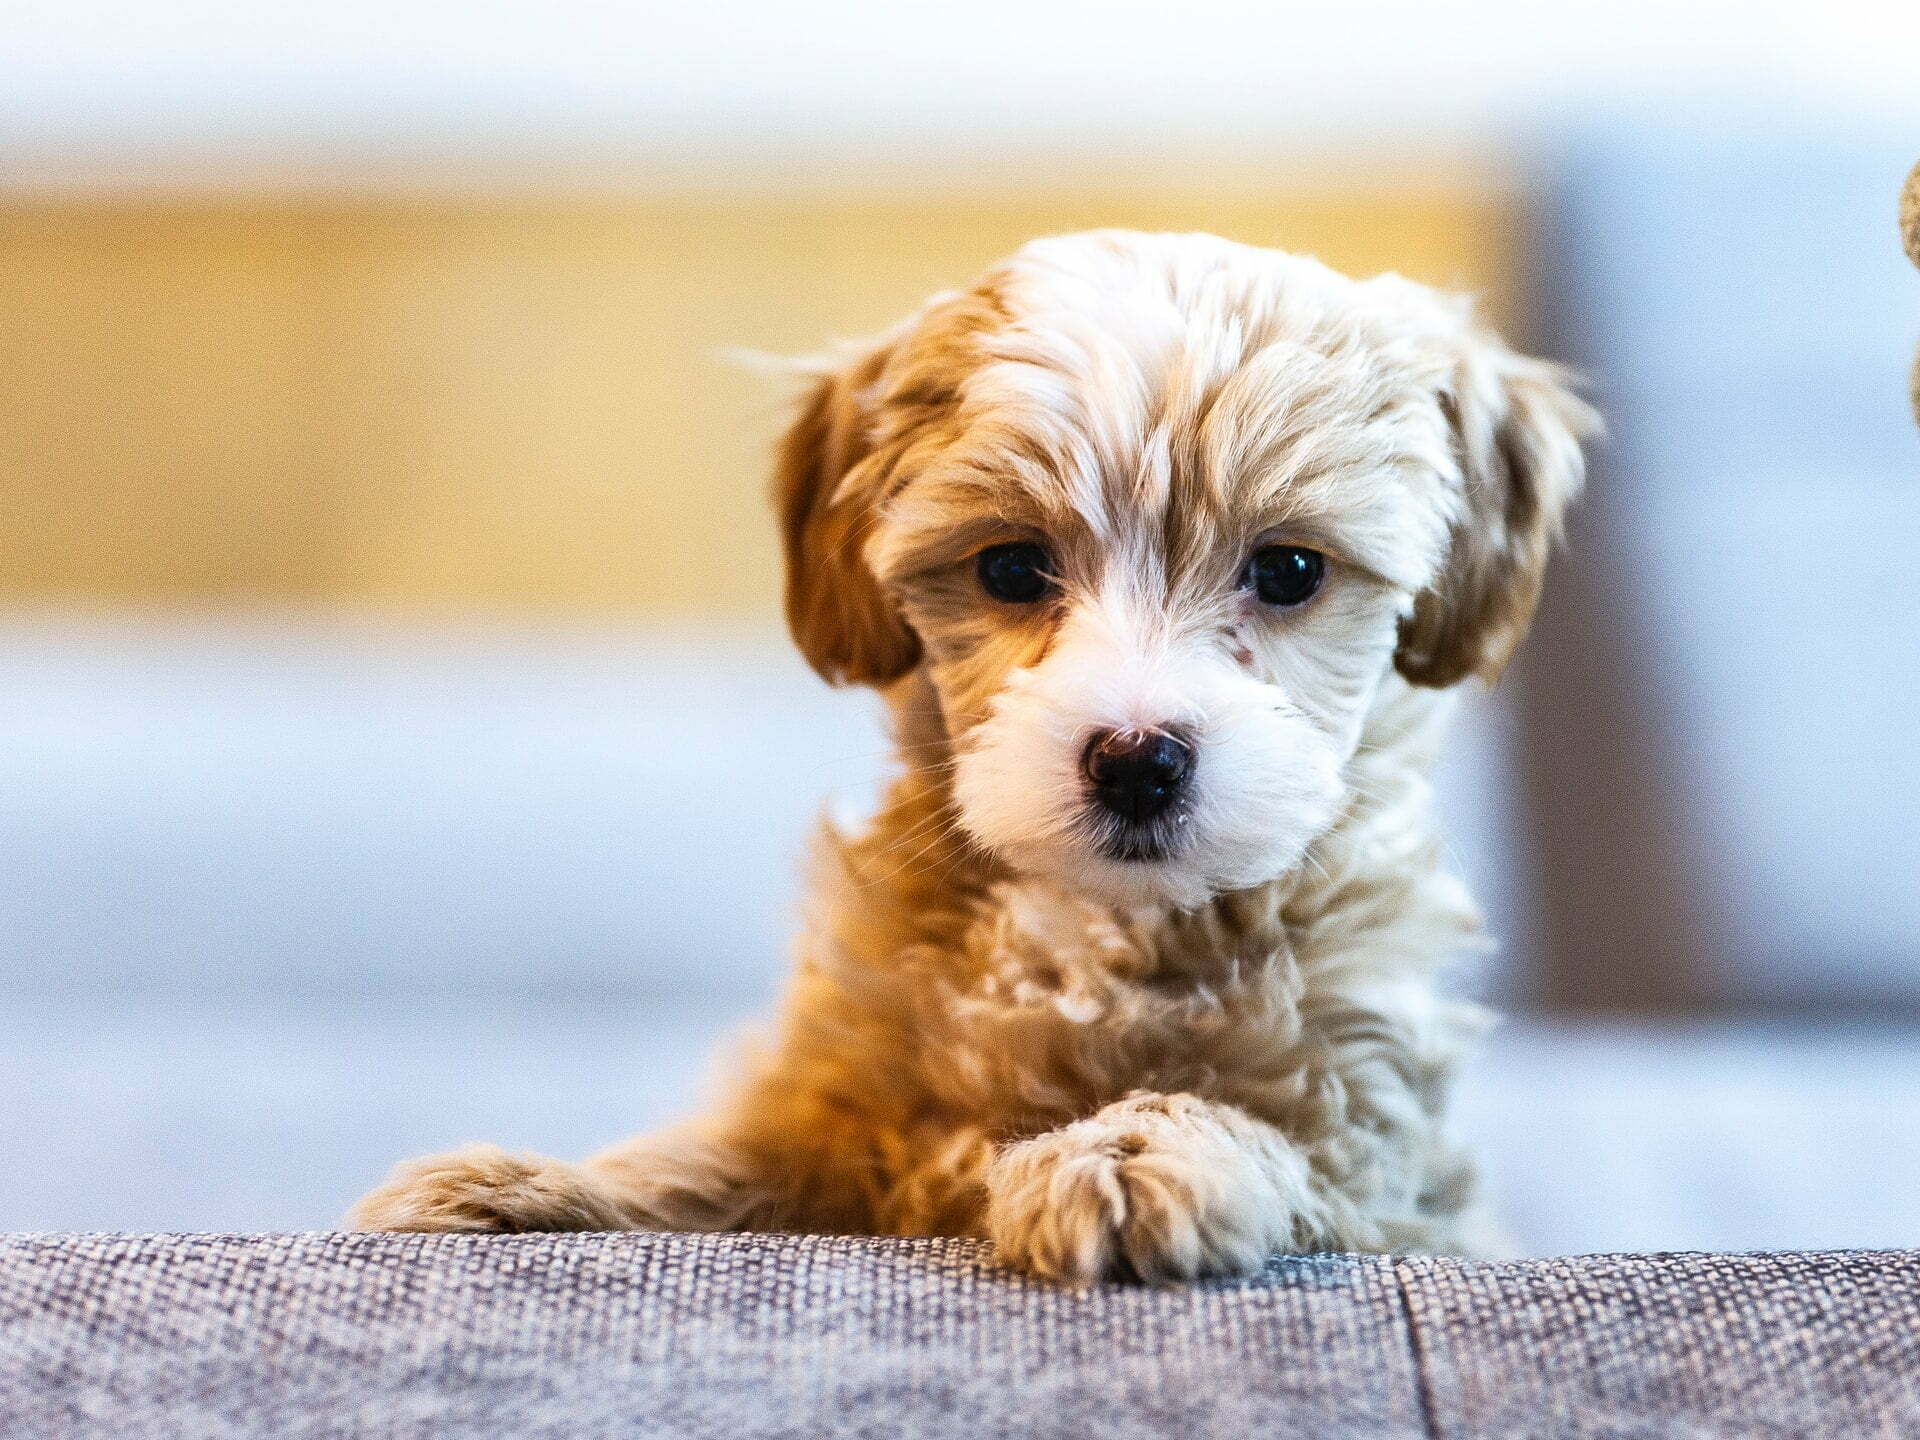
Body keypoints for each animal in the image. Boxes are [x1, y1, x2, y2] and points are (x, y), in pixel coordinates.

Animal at [353, 231, 1597, 1290]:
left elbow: (1267, 1135)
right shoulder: (839, 1106)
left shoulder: (1389, 1170)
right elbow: (724, 1159)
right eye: (1009, 568)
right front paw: (529, 1190)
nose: (1138, 759)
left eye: (1289, 570)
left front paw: (1130, 1154)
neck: (1097, 932)